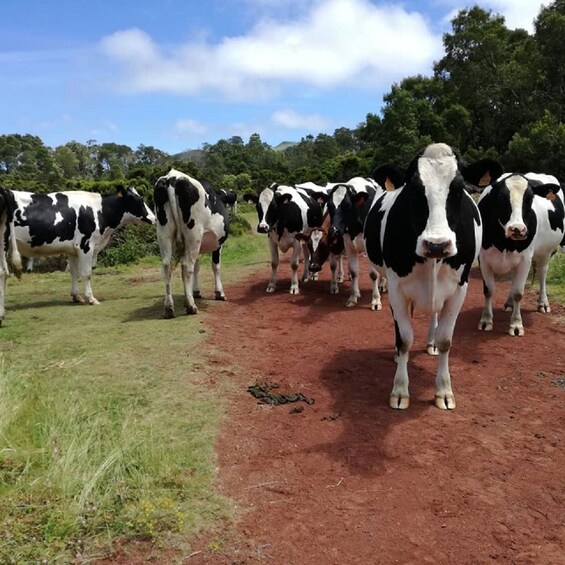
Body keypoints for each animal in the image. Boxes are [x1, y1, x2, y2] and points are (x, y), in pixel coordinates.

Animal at [12, 185, 154, 304]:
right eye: (139, 199)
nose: (154, 218)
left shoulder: (72, 250)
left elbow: (74, 273)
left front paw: (76, 296)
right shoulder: (86, 246)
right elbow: (86, 273)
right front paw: (91, 298)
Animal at [154, 167, 229, 318]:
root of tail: (173, 177)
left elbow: (197, 267)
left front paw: (194, 291)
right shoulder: (218, 244)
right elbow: (215, 266)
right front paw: (219, 293)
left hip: (164, 234)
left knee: (167, 266)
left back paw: (169, 307)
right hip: (194, 235)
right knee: (187, 265)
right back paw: (191, 306)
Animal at [366, 143, 480, 410]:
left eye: (458, 188)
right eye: (414, 189)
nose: (437, 244)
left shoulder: (459, 288)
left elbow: (446, 339)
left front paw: (444, 391)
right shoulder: (396, 288)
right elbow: (405, 338)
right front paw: (400, 390)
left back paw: (431, 343)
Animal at [472, 167, 564, 334]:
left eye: (529, 198)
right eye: (501, 197)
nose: (517, 229)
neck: (504, 243)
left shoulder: (525, 259)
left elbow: (518, 293)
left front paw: (516, 324)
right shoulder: (483, 258)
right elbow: (489, 290)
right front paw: (486, 320)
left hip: (545, 253)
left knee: (542, 274)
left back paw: (543, 303)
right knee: (514, 278)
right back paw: (509, 303)